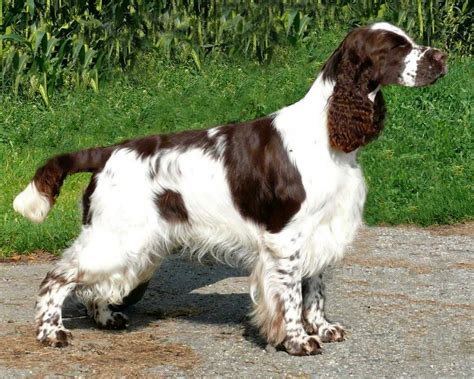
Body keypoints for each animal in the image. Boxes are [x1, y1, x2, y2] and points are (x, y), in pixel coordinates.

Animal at [12, 23, 446, 356]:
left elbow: (316, 290)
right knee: (57, 278)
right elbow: (291, 296)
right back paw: (51, 332)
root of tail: (108, 152)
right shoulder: (286, 238)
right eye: (397, 47)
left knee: (98, 285)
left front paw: (322, 328)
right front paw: (298, 341)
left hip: (135, 242)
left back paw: (106, 318)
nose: (442, 57)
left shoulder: (322, 232)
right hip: (117, 237)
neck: (328, 133)